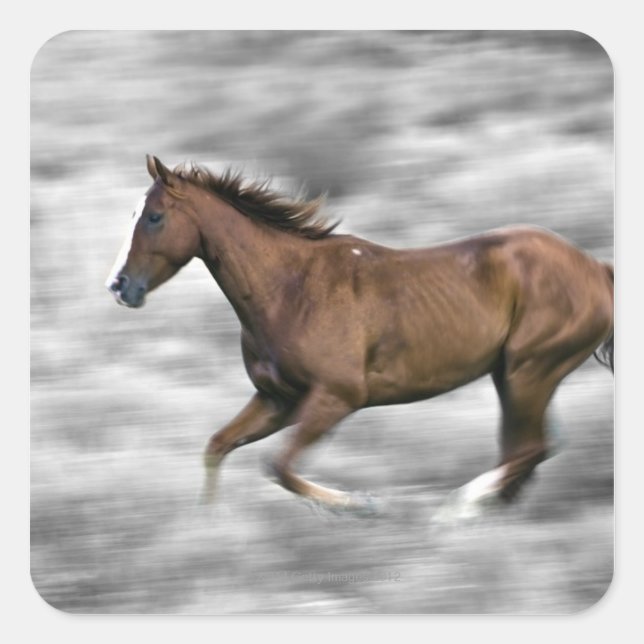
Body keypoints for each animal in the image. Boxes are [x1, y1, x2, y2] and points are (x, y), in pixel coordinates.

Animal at [106, 156, 614, 520]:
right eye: (132, 214)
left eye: (154, 217)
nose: (119, 286)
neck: (290, 288)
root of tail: (597, 270)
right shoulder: (278, 400)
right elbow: (217, 447)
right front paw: (208, 526)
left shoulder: (336, 398)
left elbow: (279, 467)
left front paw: (364, 505)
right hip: (511, 376)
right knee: (524, 453)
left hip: (530, 371)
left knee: (529, 449)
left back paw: (455, 512)